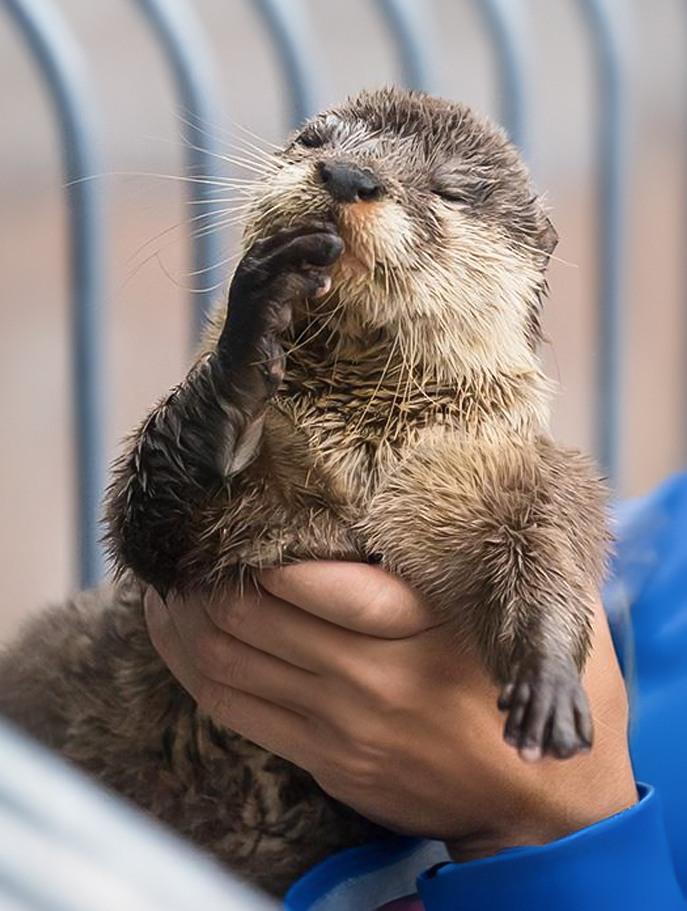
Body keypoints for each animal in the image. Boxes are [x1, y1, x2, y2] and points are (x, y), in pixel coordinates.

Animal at [0, 88, 608, 895]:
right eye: (314, 138)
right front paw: (251, 324)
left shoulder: (508, 473)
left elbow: (551, 543)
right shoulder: (232, 517)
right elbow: (149, 517)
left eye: (450, 191)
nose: (349, 175)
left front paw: (548, 680)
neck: (358, 453)